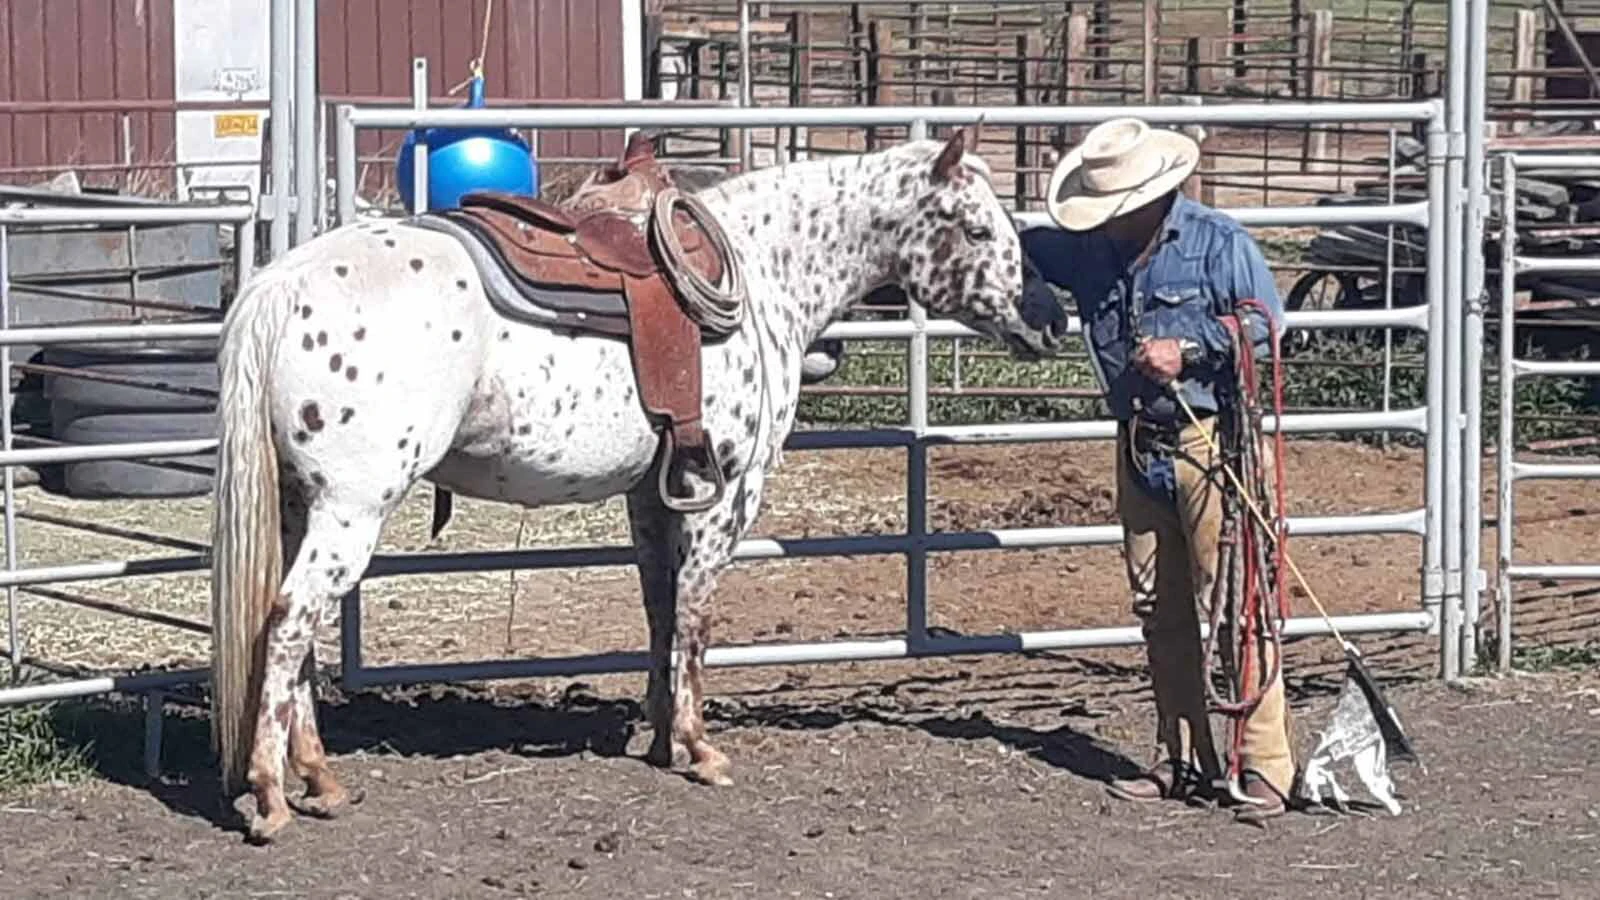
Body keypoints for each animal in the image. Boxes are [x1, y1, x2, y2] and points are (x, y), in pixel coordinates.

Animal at [208, 127, 1066, 843]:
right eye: (979, 229)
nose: (1051, 318)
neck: (764, 272)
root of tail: (278, 287)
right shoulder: (727, 492)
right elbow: (696, 613)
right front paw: (698, 746)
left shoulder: (653, 495)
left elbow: (660, 606)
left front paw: (659, 737)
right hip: (351, 510)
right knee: (288, 623)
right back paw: (272, 794)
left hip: (300, 508)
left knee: (293, 631)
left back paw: (319, 778)